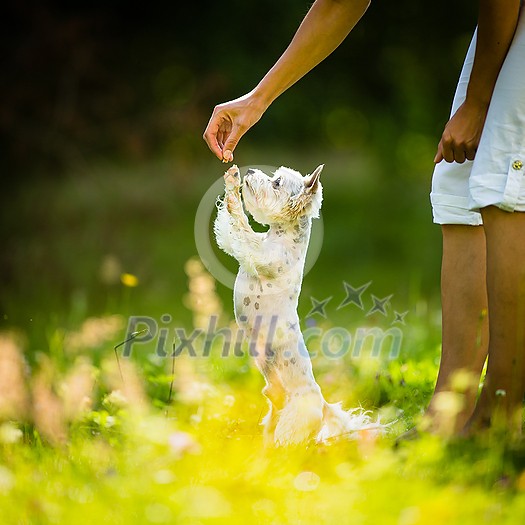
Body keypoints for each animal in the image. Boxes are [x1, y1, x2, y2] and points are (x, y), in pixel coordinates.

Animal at [214, 163, 376, 442]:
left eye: (277, 182)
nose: (251, 171)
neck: (279, 237)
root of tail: (322, 404)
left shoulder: (259, 254)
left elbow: (242, 225)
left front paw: (233, 184)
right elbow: (229, 228)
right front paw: (230, 178)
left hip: (291, 426)